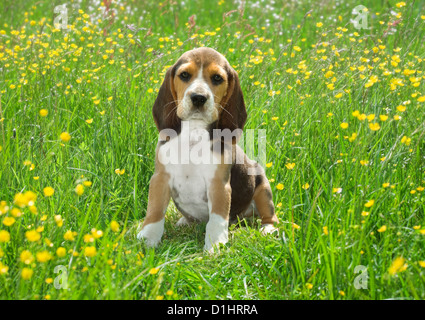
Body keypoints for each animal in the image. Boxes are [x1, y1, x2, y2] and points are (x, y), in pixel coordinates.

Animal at [137, 47, 278, 252]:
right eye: (184, 75)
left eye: (217, 78)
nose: (198, 97)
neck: (193, 133)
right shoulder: (160, 178)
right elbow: (154, 211)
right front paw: (148, 239)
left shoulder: (218, 184)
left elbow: (217, 219)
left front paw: (215, 245)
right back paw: (185, 222)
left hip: (262, 187)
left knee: (270, 215)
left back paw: (268, 229)